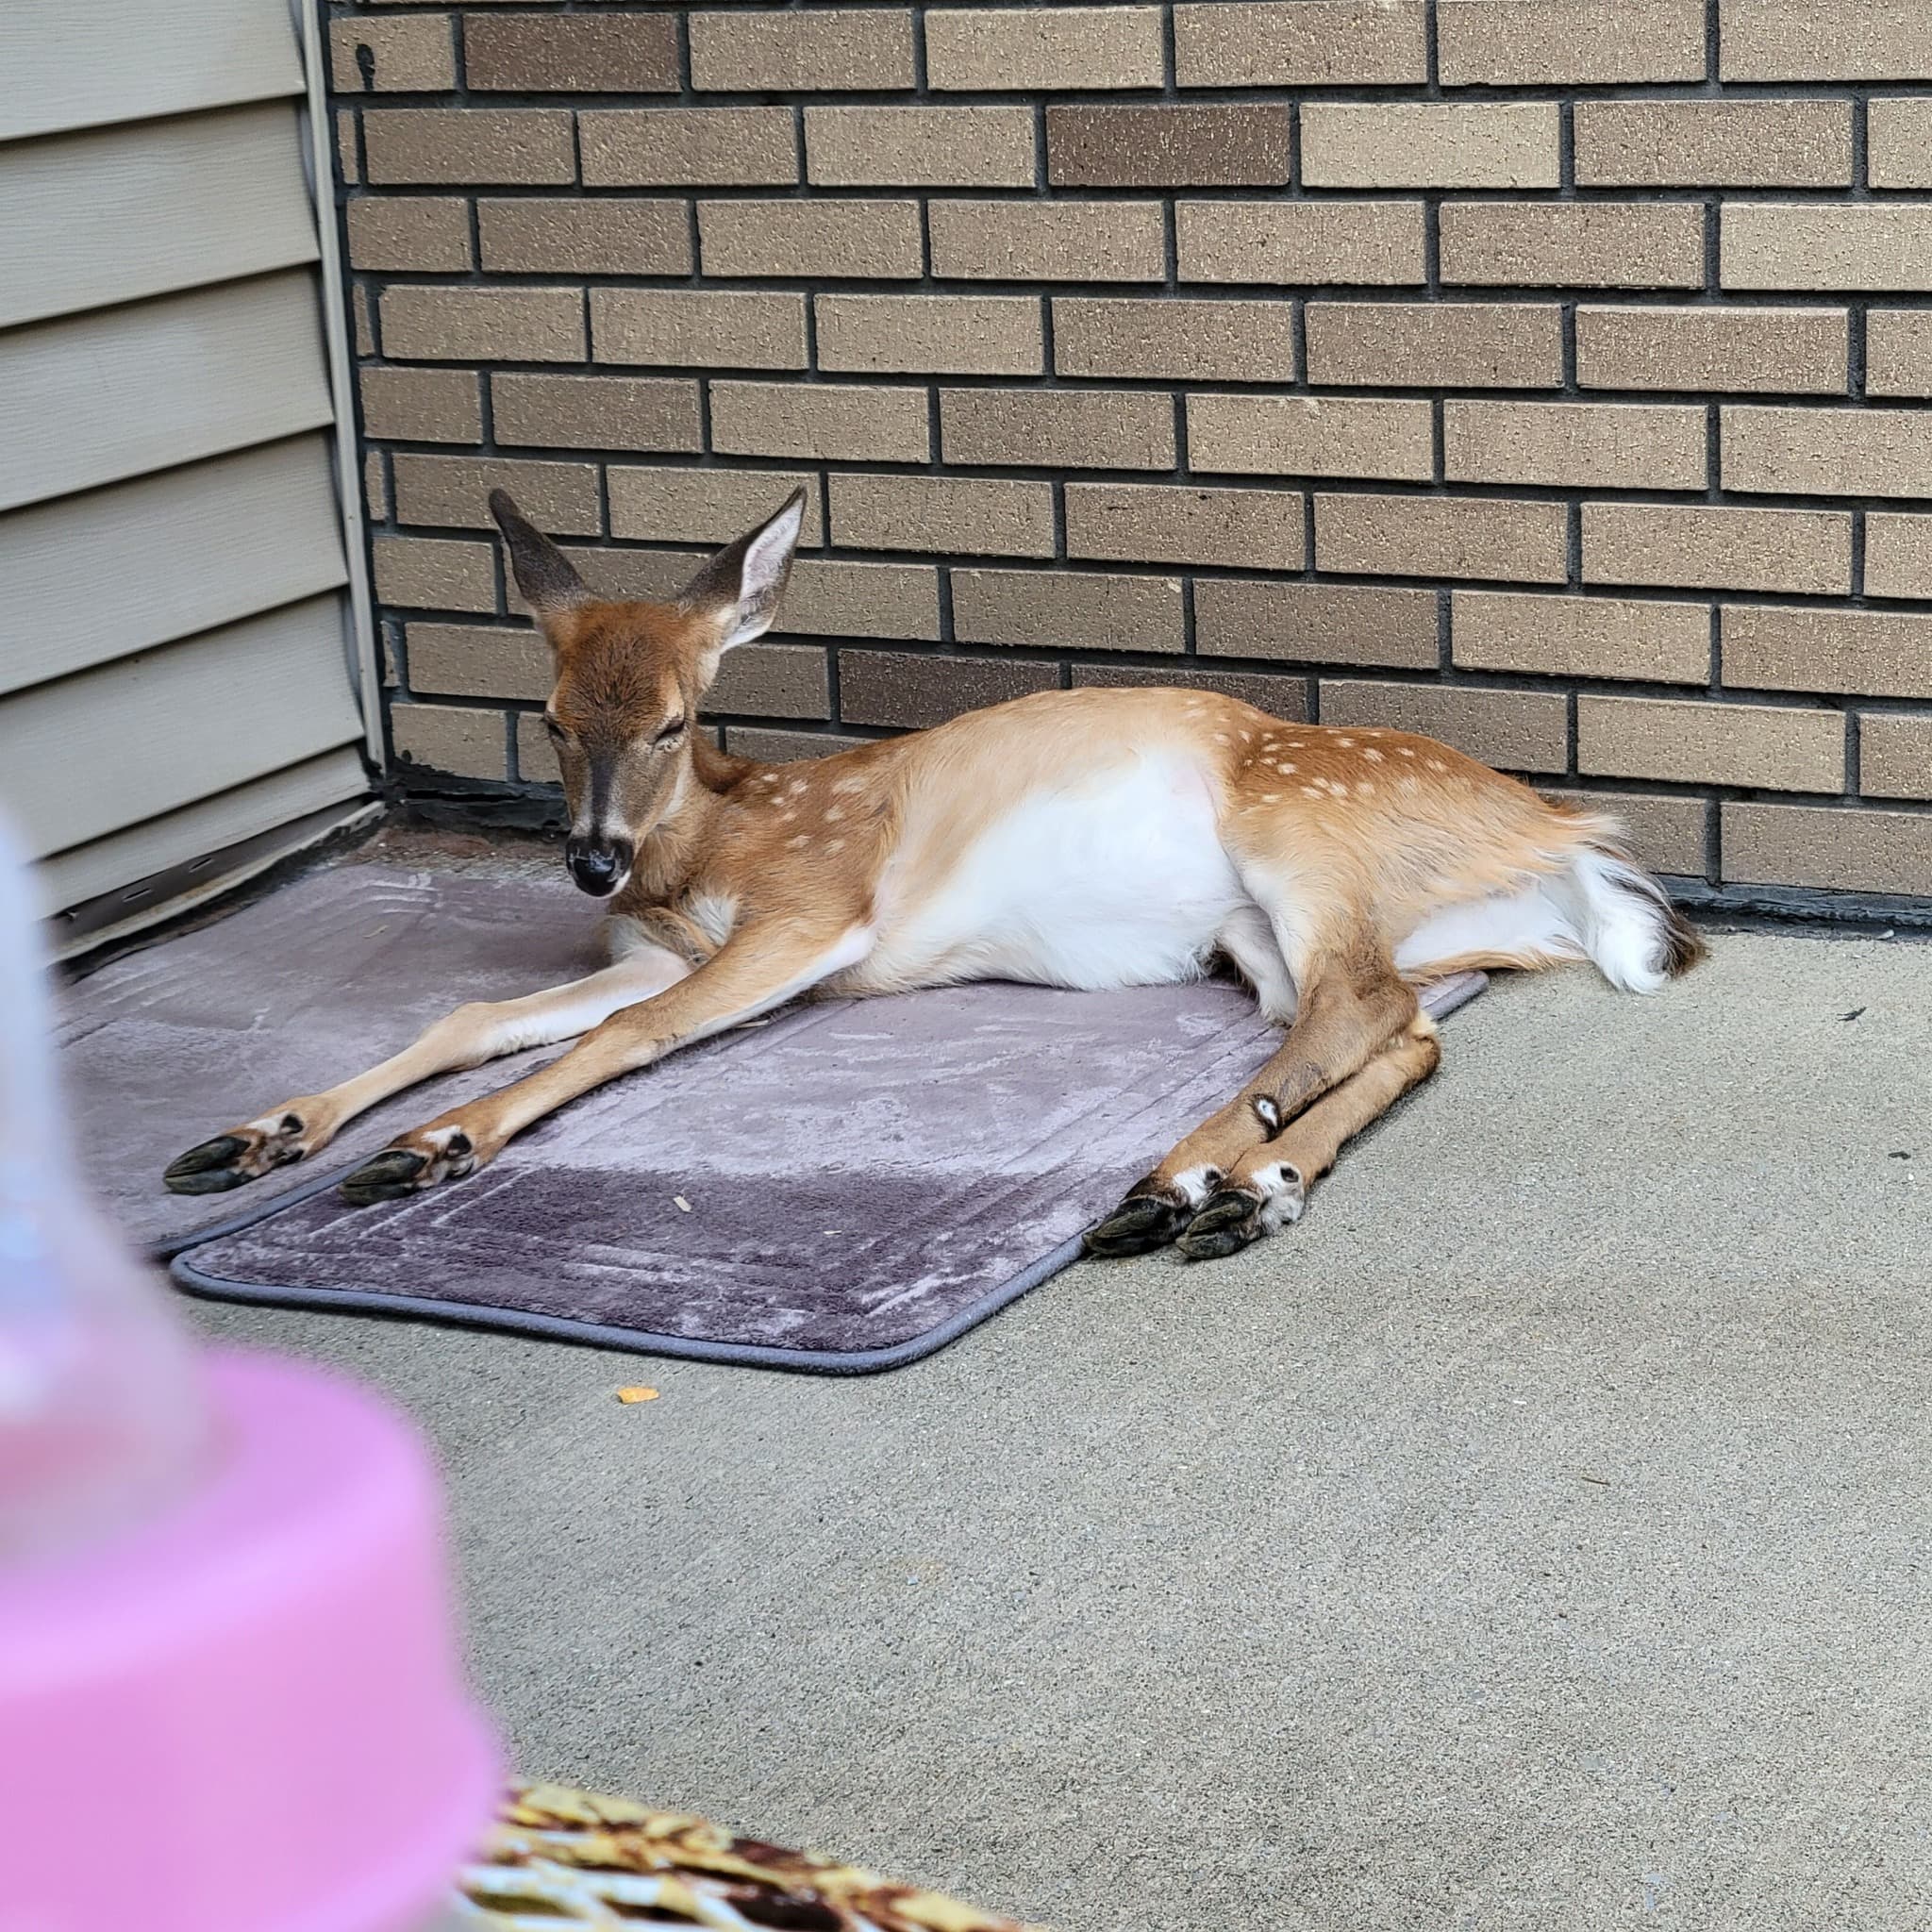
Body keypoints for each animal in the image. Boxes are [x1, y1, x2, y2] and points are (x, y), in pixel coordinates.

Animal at [164, 487, 1704, 1262]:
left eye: (669, 719)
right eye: (546, 717)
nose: (591, 860)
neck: (710, 845)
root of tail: (1556, 834)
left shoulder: (810, 914)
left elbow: (627, 1034)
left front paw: (433, 1148)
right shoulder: (659, 942)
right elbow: (479, 1016)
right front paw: (261, 1134)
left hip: (1298, 832)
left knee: (1362, 1010)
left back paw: (1182, 1177)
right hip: (1269, 935)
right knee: (1402, 1030)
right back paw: (1245, 1186)